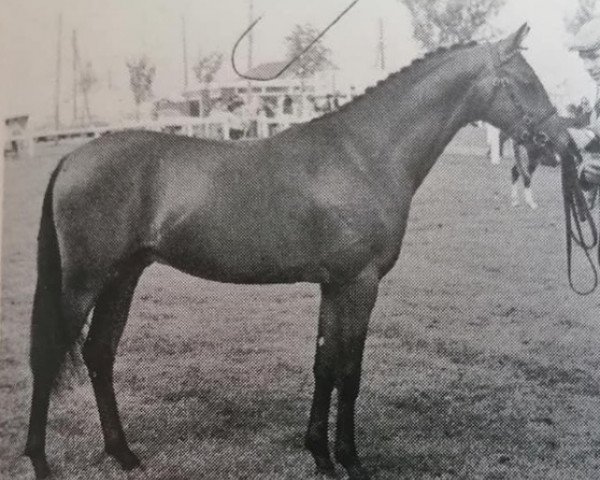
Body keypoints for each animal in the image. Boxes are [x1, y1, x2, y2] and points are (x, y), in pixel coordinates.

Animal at [25, 24, 576, 478]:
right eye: (527, 81)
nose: (564, 145)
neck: (364, 154)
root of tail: (72, 157)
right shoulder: (360, 283)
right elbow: (350, 372)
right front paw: (351, 460)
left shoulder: (334, 285)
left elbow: (325, 365)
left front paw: (320, 455)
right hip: (84, 282)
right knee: (51, 354)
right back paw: (39, 459)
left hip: (123, 276)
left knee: (99, 353)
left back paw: (123, 453)